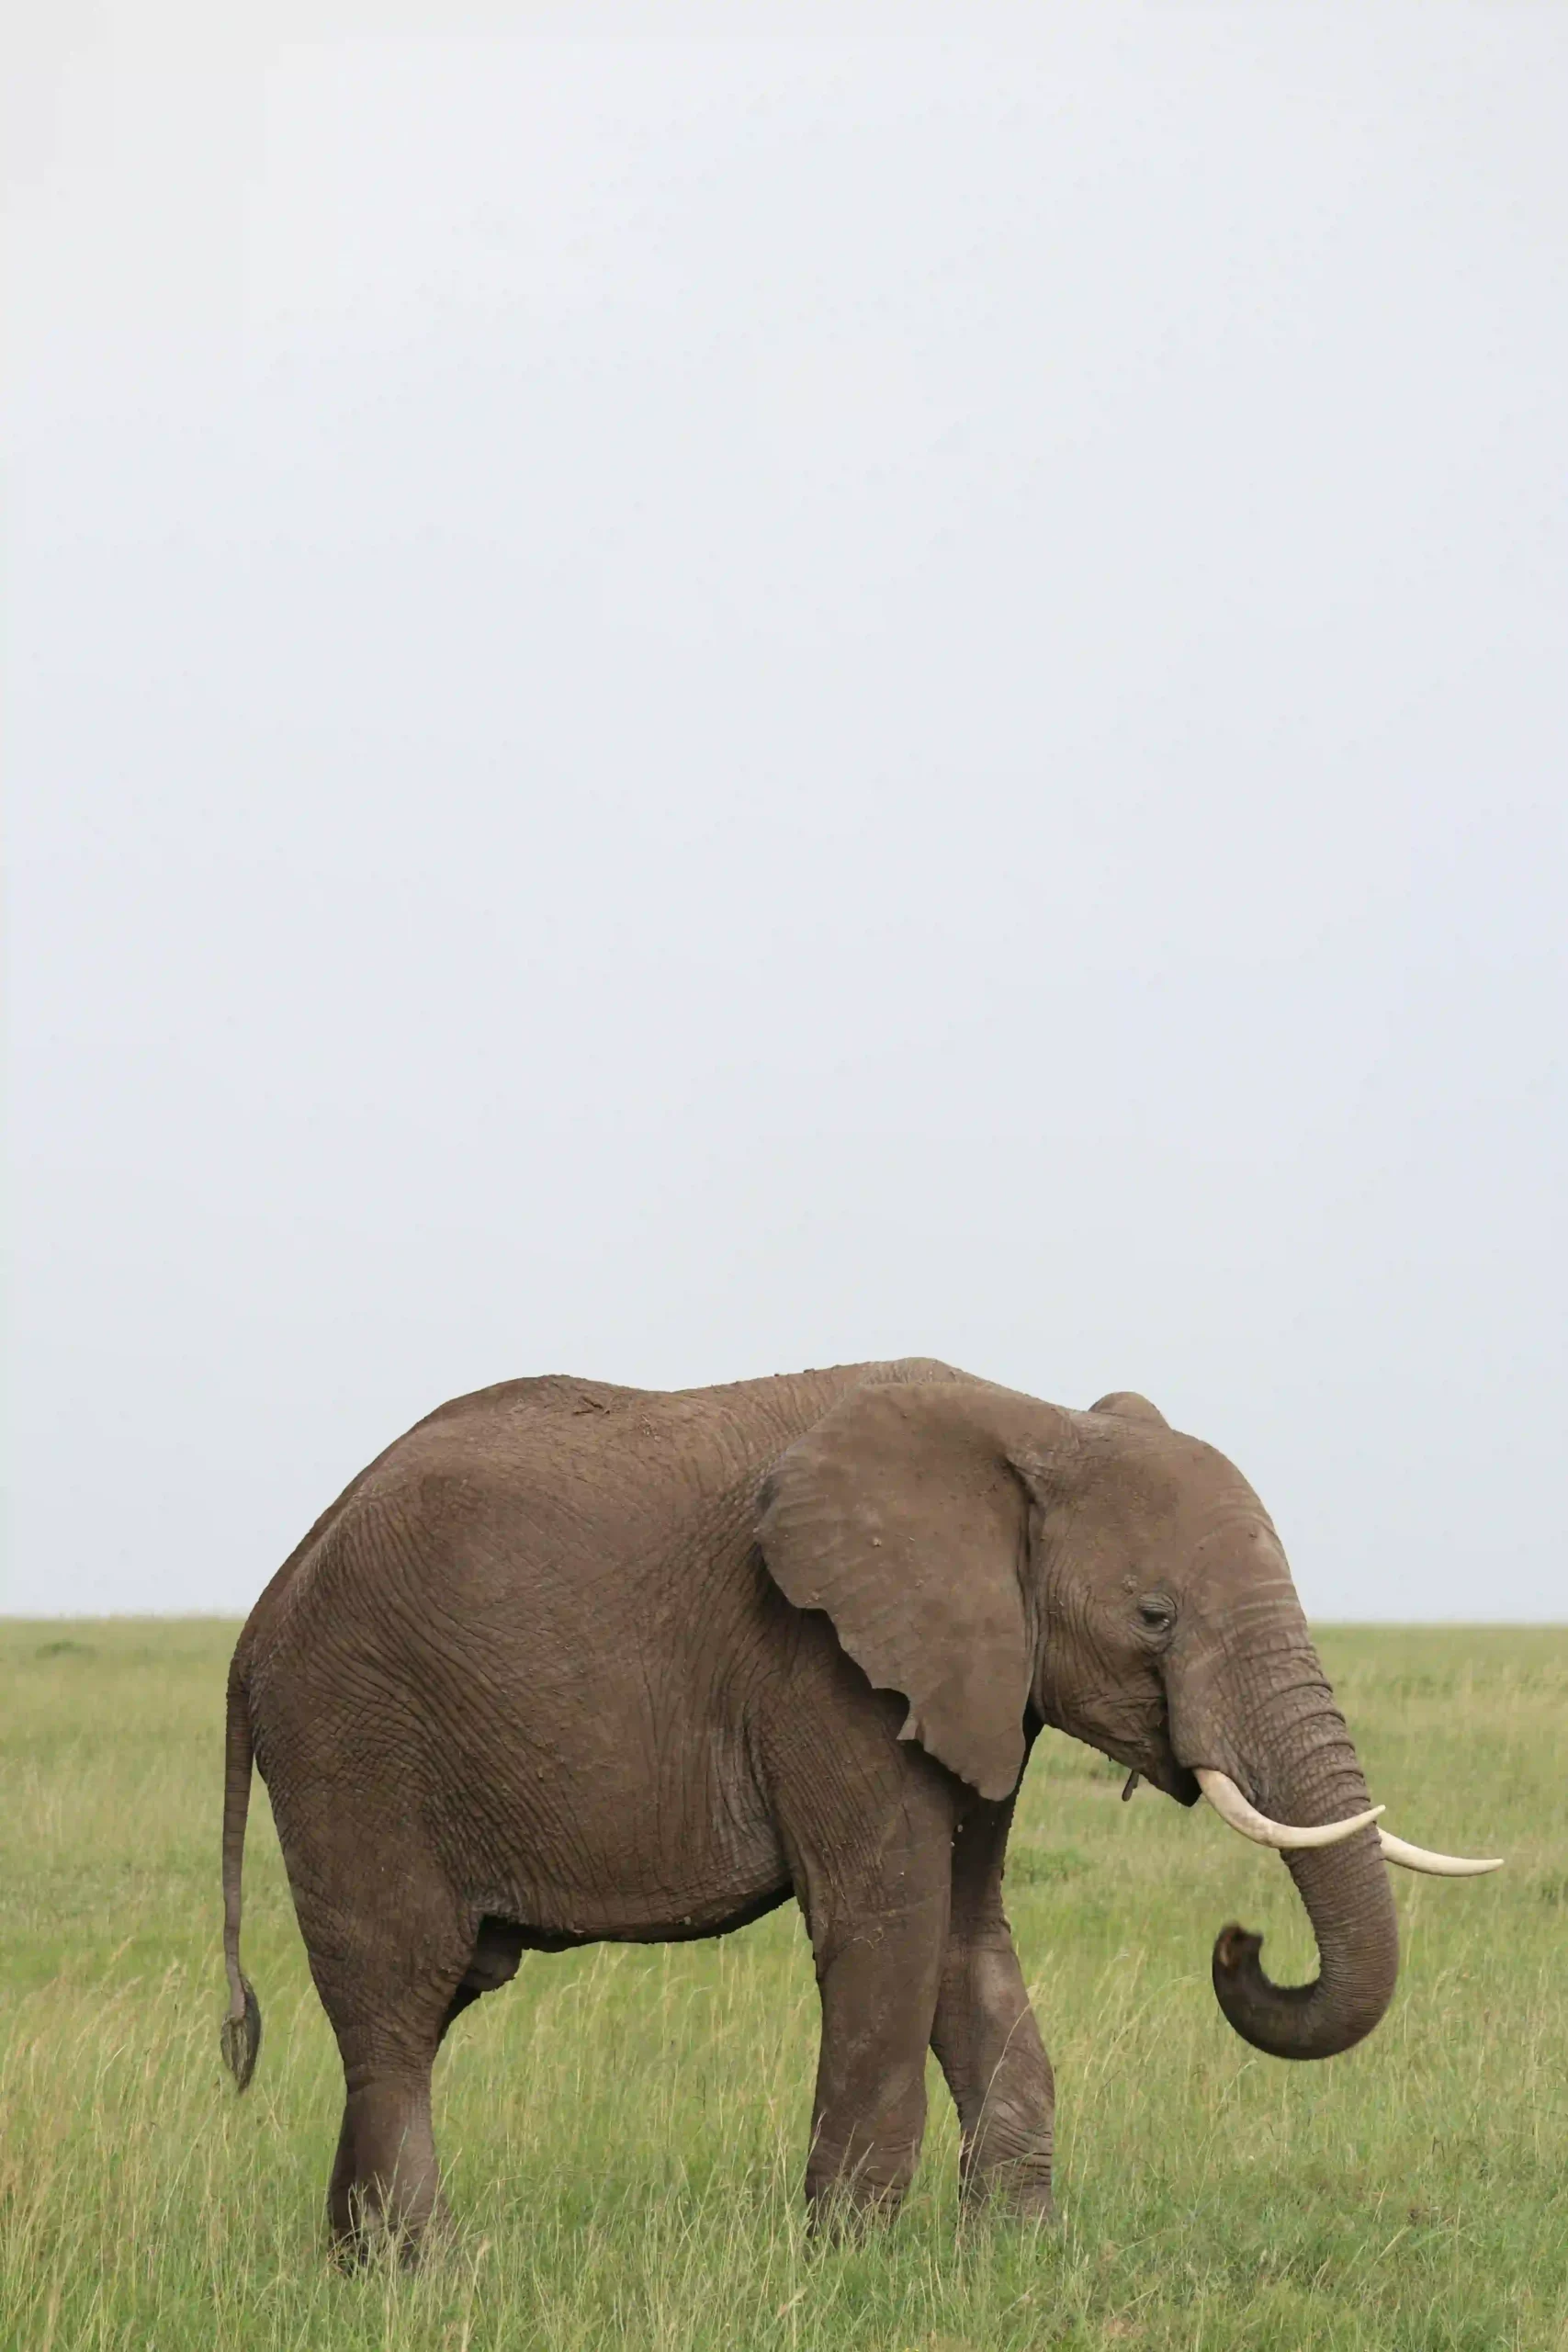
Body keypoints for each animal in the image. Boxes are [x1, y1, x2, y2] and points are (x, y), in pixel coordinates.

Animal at [219, 1358, 1498, 2260]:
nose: (1242, 1942)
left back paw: (360, 2266)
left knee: (418, 2012)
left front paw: (1014, 2260)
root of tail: (261, 1610)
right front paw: (852, 2268)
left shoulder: (976, 1679)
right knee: (398, 2001)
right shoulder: (823, 1669)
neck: (1029, 1424)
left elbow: (968, 1938)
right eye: (1154, 1616)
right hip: (351, 1741)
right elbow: (888, 1925)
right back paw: (425, 2274)